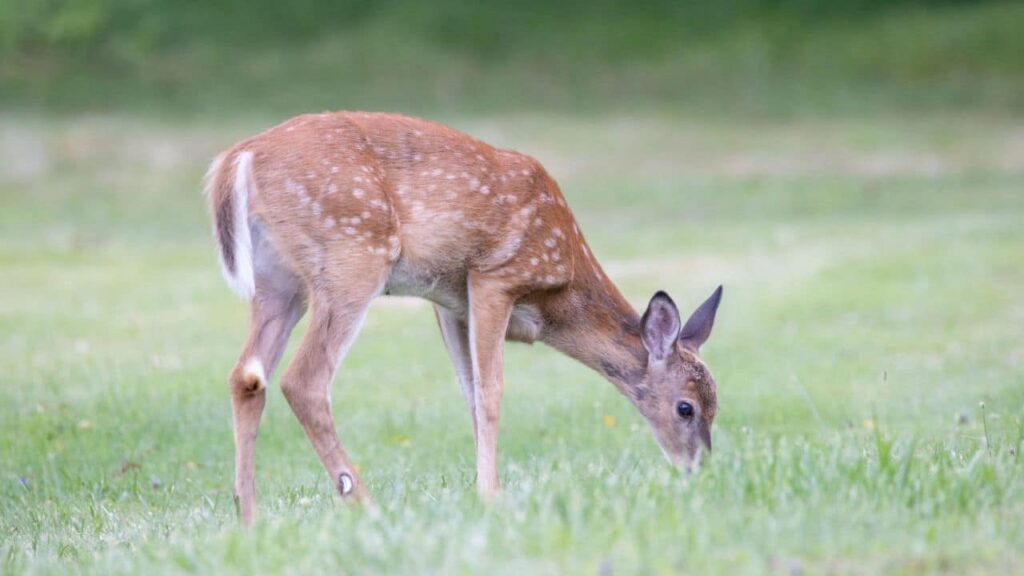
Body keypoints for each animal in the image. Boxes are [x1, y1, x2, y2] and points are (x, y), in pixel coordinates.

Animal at [203, 112, 724, 524]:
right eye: (686, 407)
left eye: (715, 405)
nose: (699, 469)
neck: (560, 291)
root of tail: (237, 160)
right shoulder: (494, 277)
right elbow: (490, 393)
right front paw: (493, 496)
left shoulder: (449, 303)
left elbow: (468, 393)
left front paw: (482, 489)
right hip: (352, 255)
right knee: (303, 380)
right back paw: (365, 505)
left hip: (279, 282)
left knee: (246, 376)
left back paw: (249, 518)